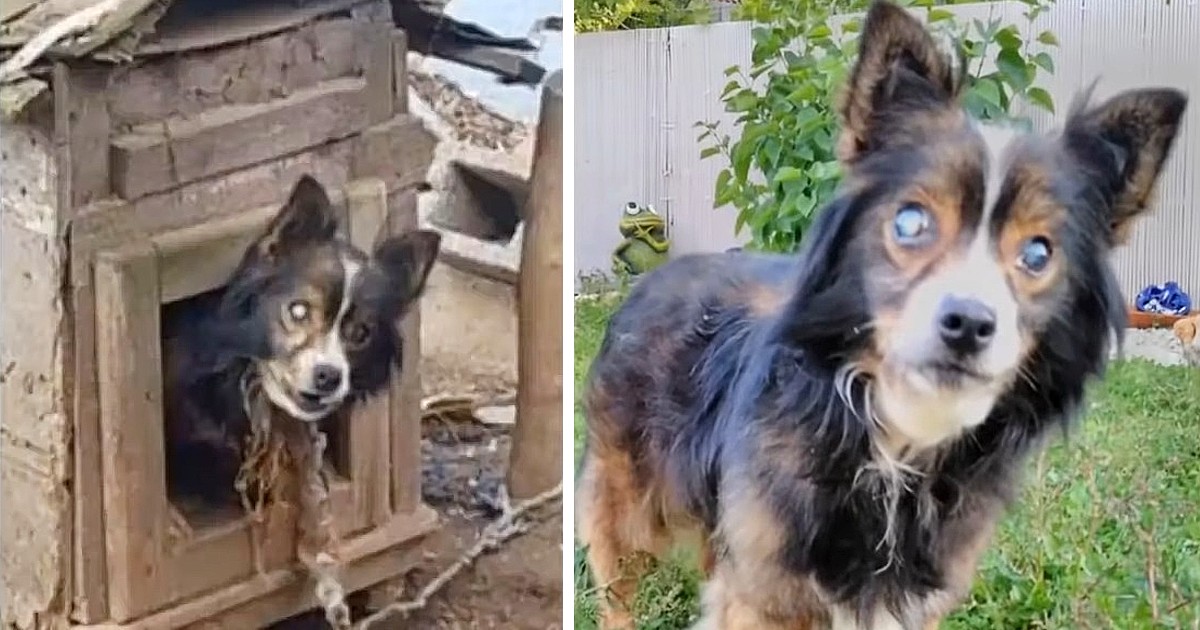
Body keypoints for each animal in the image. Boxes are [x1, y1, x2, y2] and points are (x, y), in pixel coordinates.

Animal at [576, 2, 1185, 624]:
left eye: (1038, 254)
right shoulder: (762, 590)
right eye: (911, 221)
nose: (968, 324)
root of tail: (651, 276)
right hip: (631, 505)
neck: (896, 439)